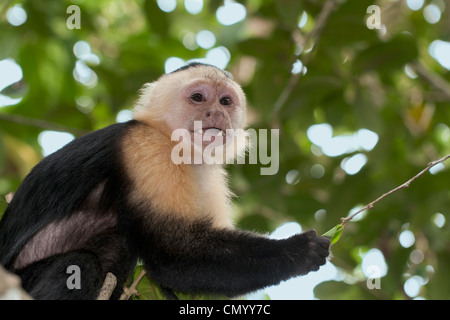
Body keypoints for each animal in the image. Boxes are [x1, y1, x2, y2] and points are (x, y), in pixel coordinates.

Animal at [0, 63, 330, 300]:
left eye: (226, 101)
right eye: (198, 98)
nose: (216, 113)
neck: (176, 142)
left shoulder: (211, 174)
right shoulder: (148, 150)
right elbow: (170, 255)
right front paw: (297, 251)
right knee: (82, 263)